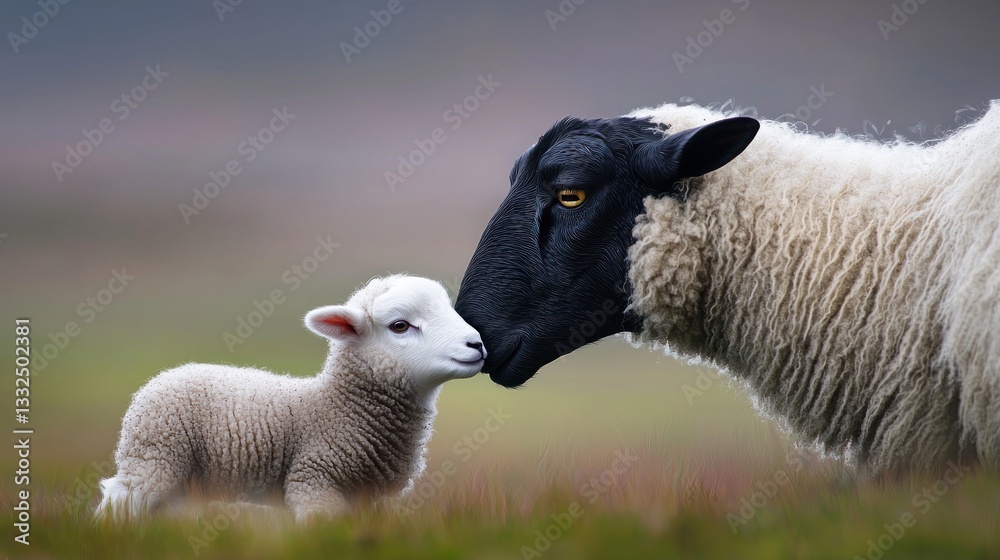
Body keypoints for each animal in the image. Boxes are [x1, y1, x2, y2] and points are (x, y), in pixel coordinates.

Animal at [96, 275, 487, 521]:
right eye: (401, 326)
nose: (477, 344)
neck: (337, 406)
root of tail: (161, 377)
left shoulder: (365, 497)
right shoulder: (313, 478)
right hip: (155, 457)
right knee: (119, 503)